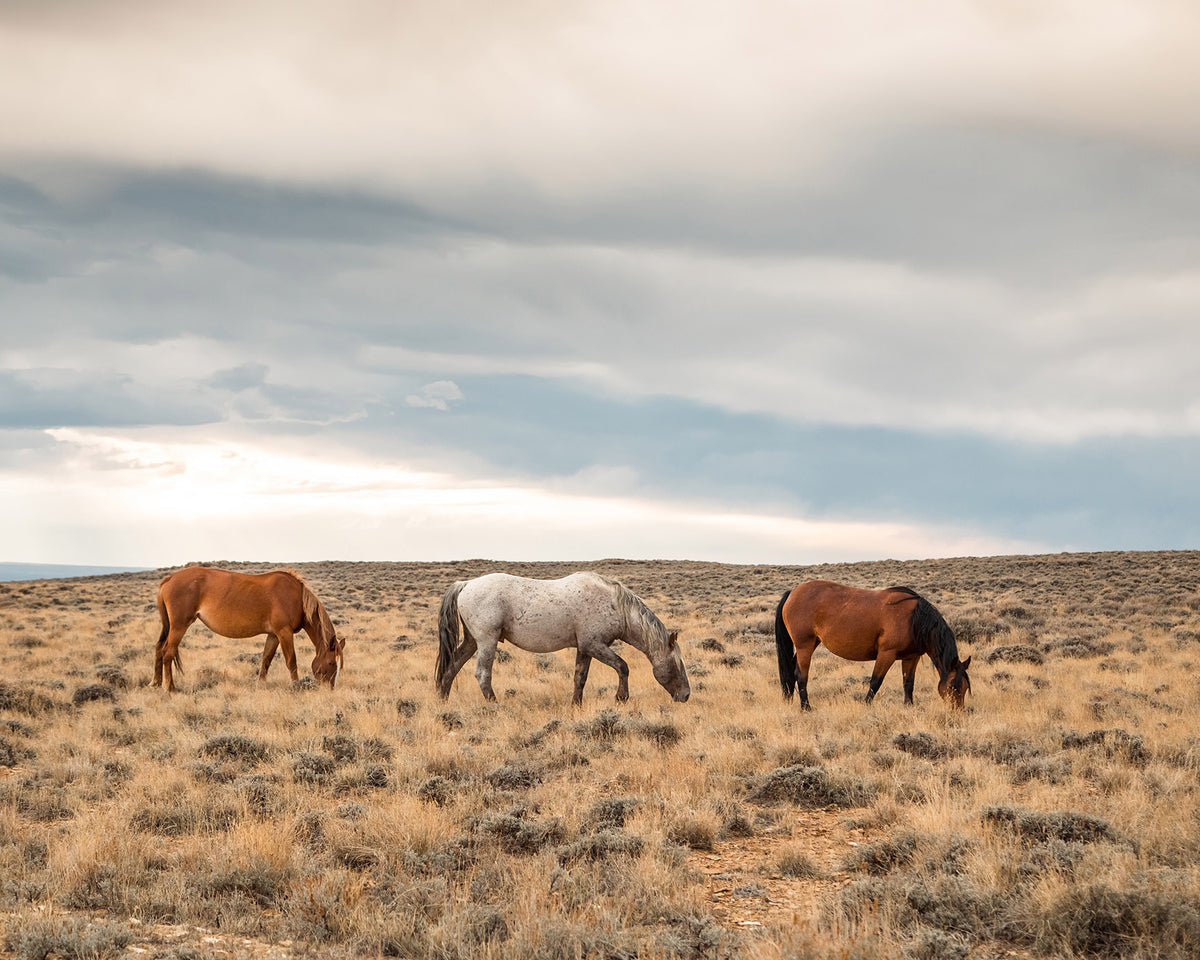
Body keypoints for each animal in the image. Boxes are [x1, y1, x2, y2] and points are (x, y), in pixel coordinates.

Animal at [152, 566, 345, 696]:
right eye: (331, 663)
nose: (330, 688)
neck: (297, 597)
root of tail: (169, 578)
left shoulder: (274, 635)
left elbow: (266, 659)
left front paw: (260, 685)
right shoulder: (284, 633)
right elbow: (291, 661)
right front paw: (296, 687)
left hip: (169, 627)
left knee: (159, 649)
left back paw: (156, 684)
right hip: (179, 626)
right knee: (168, 653)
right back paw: (171, 689)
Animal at [436, 571, 691, 705]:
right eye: (677, 665)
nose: (686, 695)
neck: (615, 605)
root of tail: (465, 584)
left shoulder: (584, 648)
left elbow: (580, 677)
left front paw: (576, 704)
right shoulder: (594, 645)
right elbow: (623, 666)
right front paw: (621, 697)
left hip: (471, 642)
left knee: (452, 667)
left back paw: (443, 700)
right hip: (486, 642)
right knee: (482, 674)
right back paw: (494, 704)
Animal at [772, 580, 969, 710]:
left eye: (966, 687)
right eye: (953, 686)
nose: (957, 712)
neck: (914, 619)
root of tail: (792, 593)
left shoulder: (911, 658)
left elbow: (908, 683)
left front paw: (909, 707)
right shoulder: (886, 654)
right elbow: (875, 682)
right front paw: (866, 705)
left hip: (811, 643)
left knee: (791, 671)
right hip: (804, 646)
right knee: (801, 675)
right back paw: (806, 707)